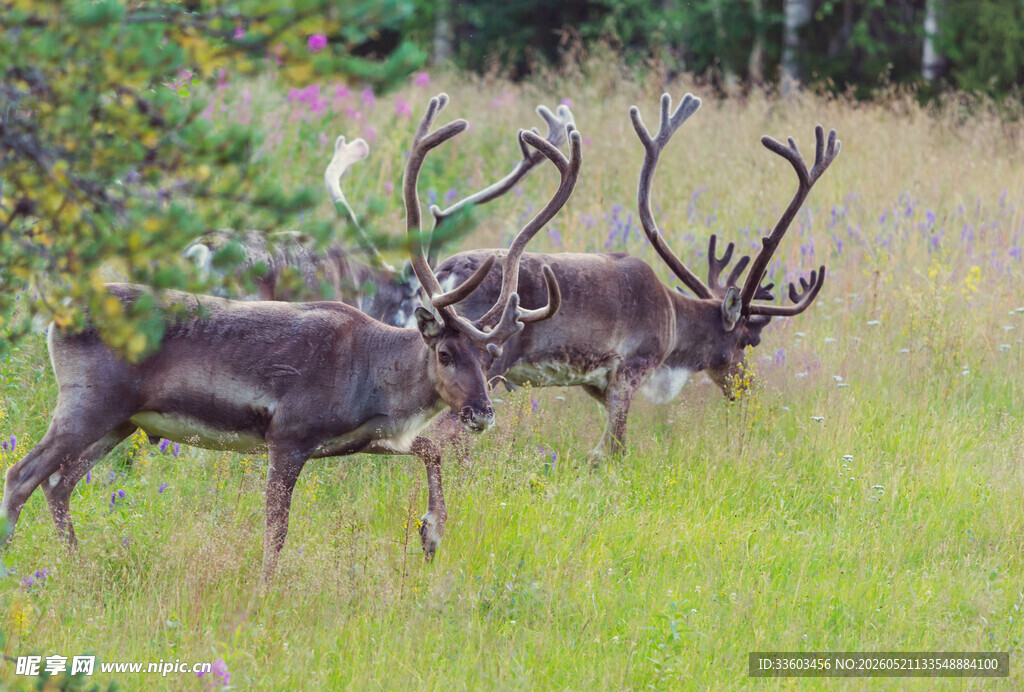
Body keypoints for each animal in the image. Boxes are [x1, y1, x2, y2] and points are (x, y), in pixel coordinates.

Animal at [427, 92, 840, 461]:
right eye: (744, 341)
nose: (747, 388)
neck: (673, 319)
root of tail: (446, 271)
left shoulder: (597, 383)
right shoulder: (632, 368)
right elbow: (613, 448)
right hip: (486, 363)